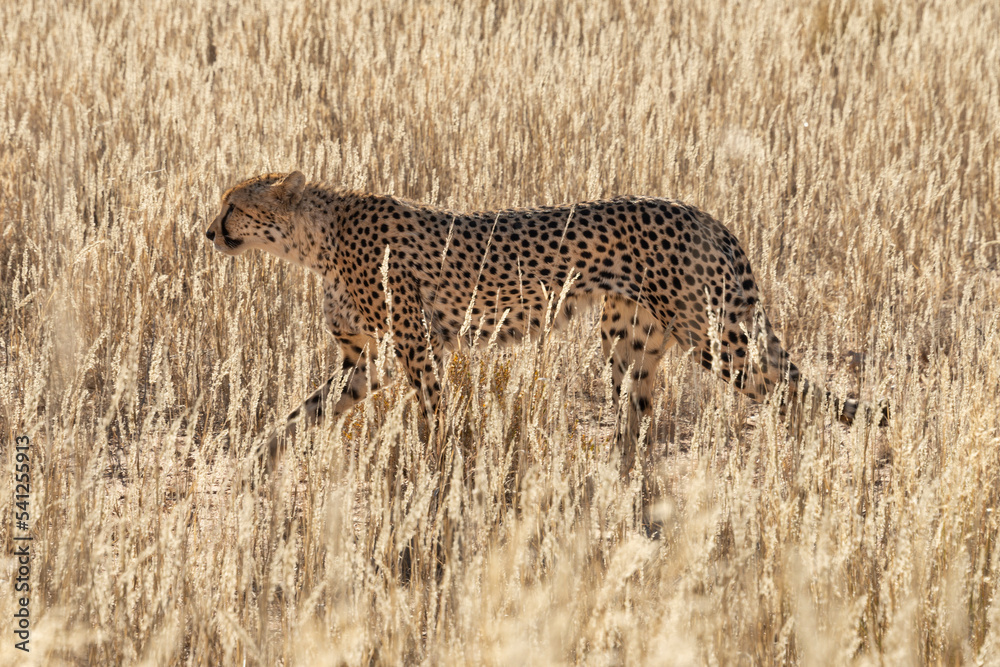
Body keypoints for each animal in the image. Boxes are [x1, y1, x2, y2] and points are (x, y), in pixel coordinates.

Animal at [205, 171, 888, 474]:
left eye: (234, 204)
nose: (209, 231)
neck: (314, 239)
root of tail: (702, 212)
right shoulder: (367, 359)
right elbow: (307, 410)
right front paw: (259, 456)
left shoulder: (416, 347)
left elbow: (432, 415)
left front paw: (436, 473)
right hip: (630, 343)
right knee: (637, 418)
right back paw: (620, 486)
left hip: (715, 338)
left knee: (787, 394)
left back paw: (800, 466)